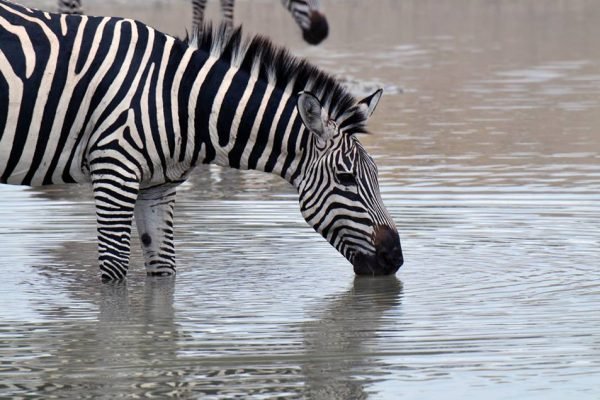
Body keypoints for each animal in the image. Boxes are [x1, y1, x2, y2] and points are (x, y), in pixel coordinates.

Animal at [1, 0, 404, 282]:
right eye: (346, 179)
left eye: (376, 178)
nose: (395, 260)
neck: (182, 101)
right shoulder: (114, 172)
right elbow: (114, 277)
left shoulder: (157, 187)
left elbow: (164, 274)